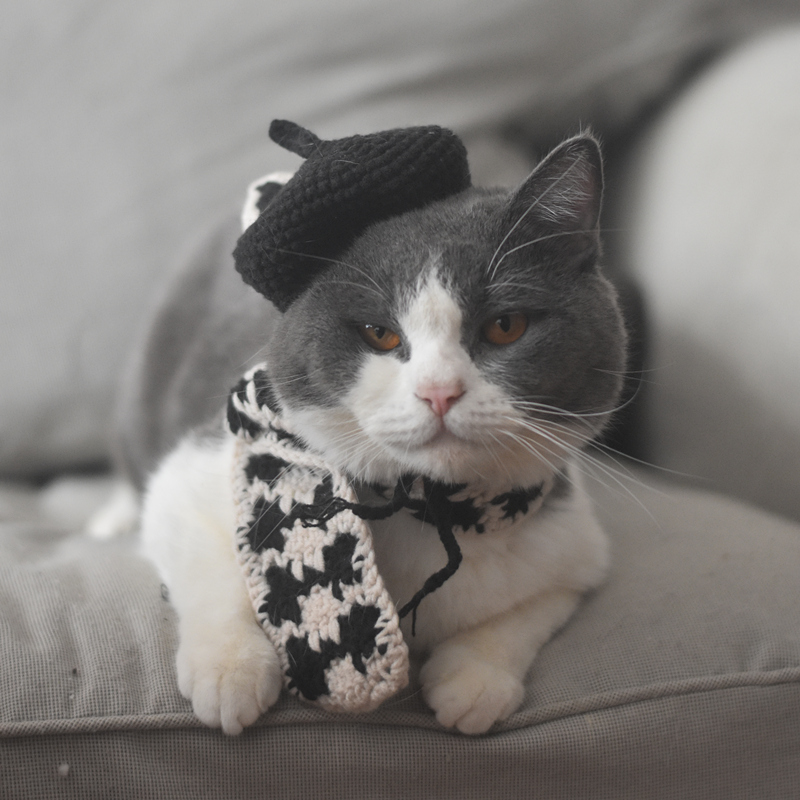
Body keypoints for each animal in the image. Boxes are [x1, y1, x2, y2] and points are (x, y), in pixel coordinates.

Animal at [123, 130, 624, 736]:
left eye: (506, 326)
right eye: (379, 334)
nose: (439, 391)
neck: (429, 511)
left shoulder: (575, 545)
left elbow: (534, 605)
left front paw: (474, 678)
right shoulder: (194, 473)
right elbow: (209, 559)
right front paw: (231, 670)